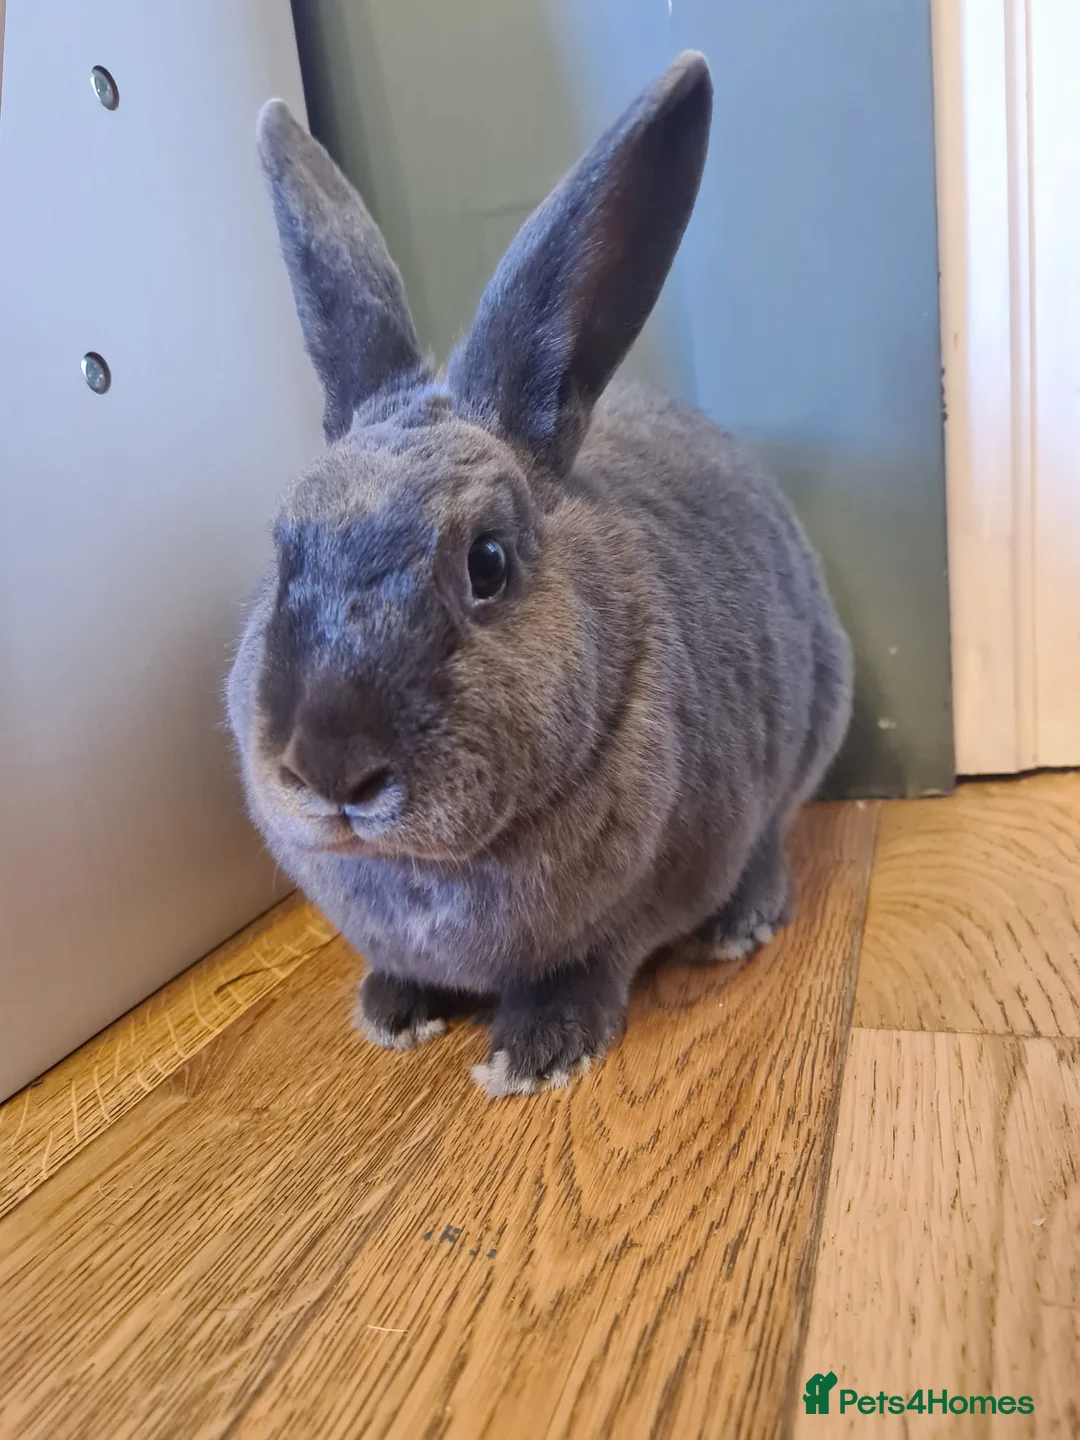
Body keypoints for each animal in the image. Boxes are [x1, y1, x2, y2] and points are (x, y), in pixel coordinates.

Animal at [226, 51, 853, 1099]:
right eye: (282, 553)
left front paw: (535, 1053)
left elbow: (592, 962)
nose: (330, 768)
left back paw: (742, 924)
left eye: (488, 562)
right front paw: (391, 1011)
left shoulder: (637, 903)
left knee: (772, 837)